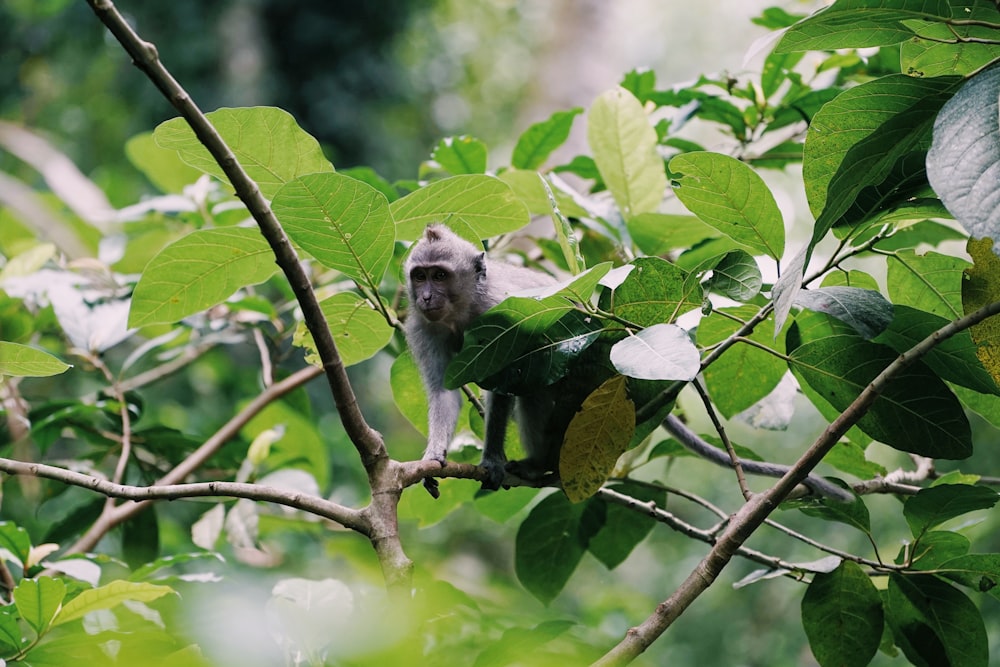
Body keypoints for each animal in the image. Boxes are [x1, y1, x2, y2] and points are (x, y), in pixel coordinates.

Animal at [406, 224, 564, 496]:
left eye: (439, 276)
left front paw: (491, 460)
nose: (425, 297)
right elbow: (444, 392)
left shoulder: (500, 315)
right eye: (419, 276)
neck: (464, 310)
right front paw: (434, 455)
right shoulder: (425, 328)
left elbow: (503, 386)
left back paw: (538, 464)